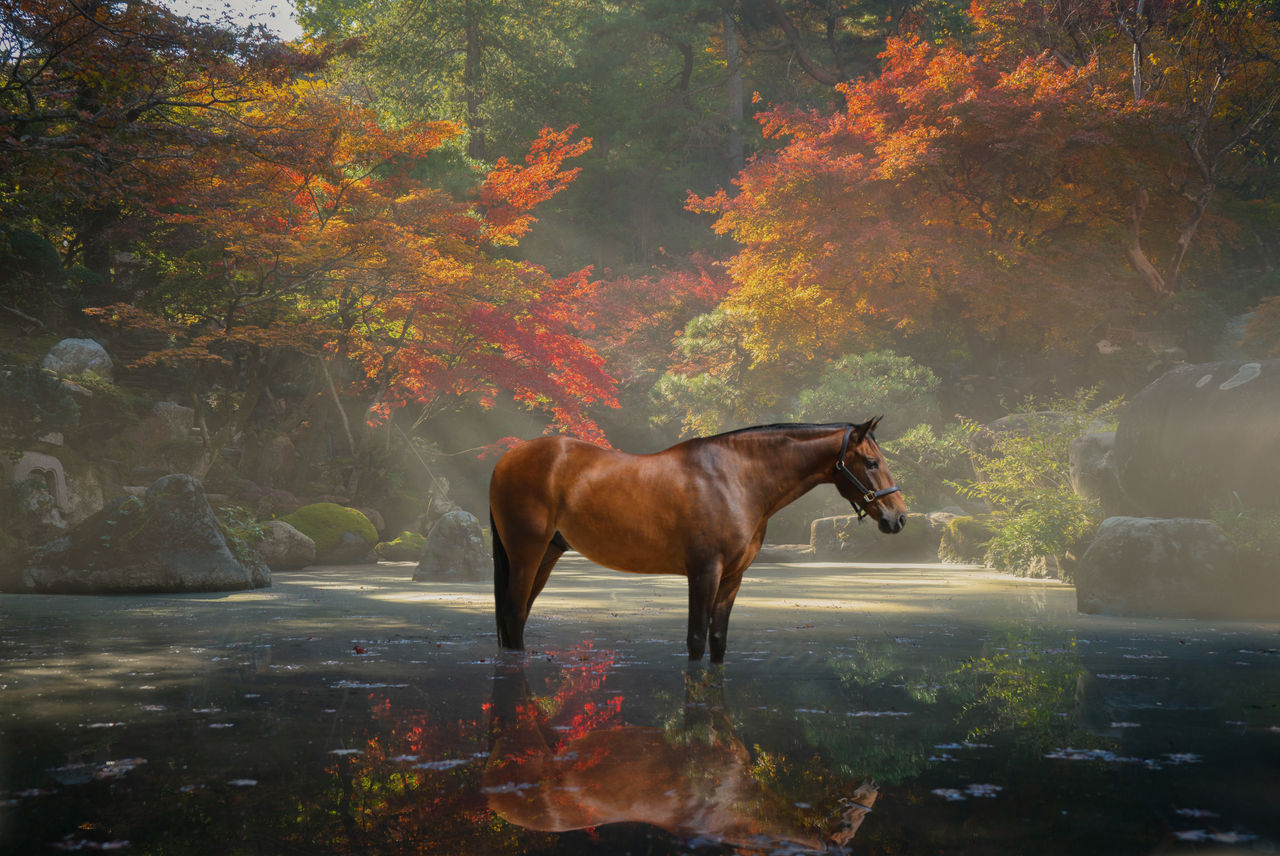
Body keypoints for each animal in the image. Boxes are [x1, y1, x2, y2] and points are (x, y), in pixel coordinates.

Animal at [483, 419, 906, 660]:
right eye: (871, 463)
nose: (898, 517)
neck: (736, 478)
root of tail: (506, 460)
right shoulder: (704, 571)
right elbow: (697, 639)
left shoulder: (733, 577)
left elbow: (717, 639)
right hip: (526, 553)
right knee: (514, 615)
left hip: (547, 554)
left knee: (515, 618)